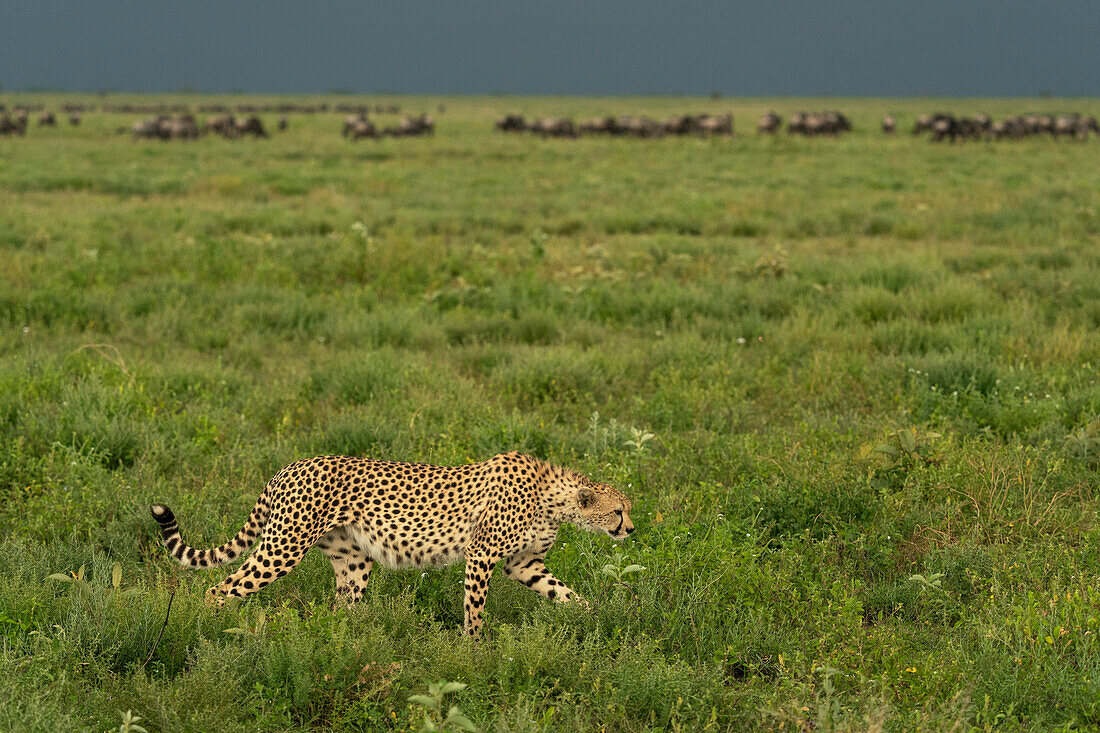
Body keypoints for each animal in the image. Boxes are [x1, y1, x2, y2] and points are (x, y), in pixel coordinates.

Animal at [155, 449, 638, 629]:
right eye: (619, 510)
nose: (631, 529)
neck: (554, 499)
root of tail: (290, 465)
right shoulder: (481, 555)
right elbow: (475, 610)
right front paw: (474, 651)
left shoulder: (524, 564)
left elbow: (565, 594)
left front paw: (599, 617)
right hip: (283, 547)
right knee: (221, 588)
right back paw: (209, 633)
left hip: (353, 559)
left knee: (342, 608)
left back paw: (339, 646)